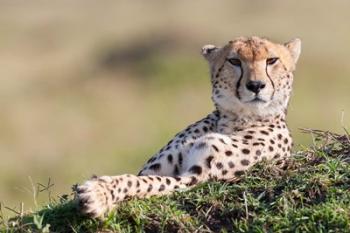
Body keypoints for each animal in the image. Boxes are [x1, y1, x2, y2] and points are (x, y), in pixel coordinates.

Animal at [76, 36, 300, 218]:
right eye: (234, 61)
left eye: (272, 60)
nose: (256, 85)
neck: (235, 119)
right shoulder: (152, 170)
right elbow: (136, 178)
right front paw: (100, 190)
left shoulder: (195, 179)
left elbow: (144, 183)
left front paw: (97, 194)